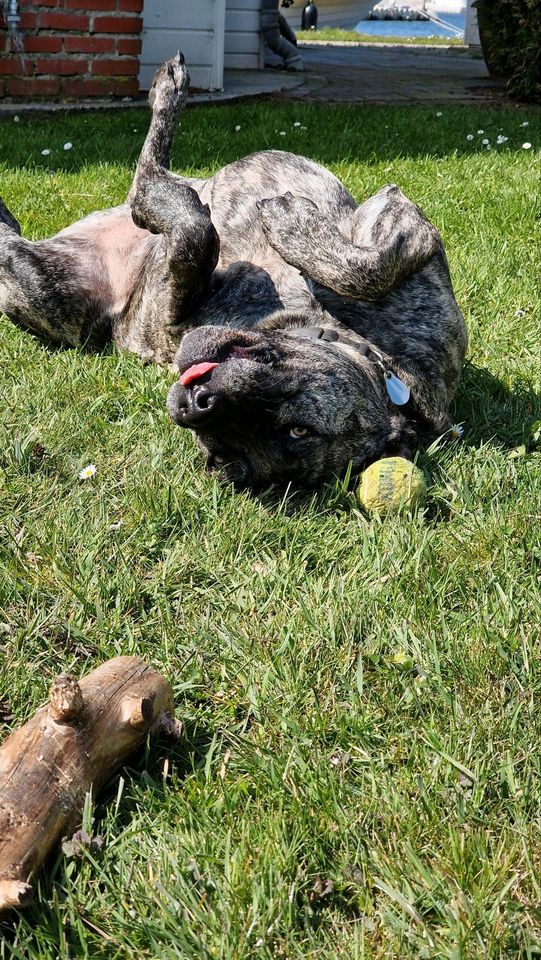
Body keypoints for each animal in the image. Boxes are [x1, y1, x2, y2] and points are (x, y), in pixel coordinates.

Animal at [0, 52, 464, 488]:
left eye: (297, 431)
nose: (195, 405)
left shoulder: (170, 314)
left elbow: (195, 234)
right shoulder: (408, 228)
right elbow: (367, 266)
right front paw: (291, 226)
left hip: (43, 288)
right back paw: (168, 93)